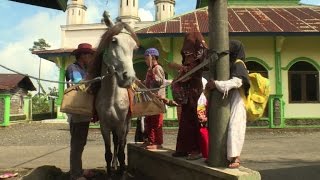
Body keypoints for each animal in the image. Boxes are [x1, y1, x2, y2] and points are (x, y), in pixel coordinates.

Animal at [87, 13, 139, 177]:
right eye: (114, 41)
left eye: (134, 47)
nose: (128, 77)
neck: (111, 97)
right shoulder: (104, 126)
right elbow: (108, 153)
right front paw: (110, 173)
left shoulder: (121, 126)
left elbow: (122, 153)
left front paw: (122, 173)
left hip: (125, 126)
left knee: (120, 144)